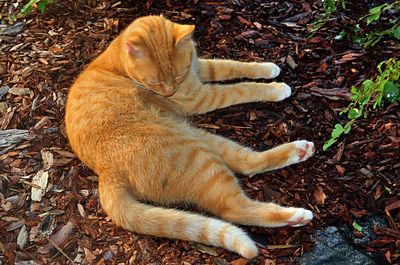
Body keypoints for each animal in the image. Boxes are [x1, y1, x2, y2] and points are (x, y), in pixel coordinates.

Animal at [65, 14, 316, 258]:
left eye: (177, 74)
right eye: (155, 82)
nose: (168, 93)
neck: (118, 64)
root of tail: (105, 172)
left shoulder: (199, 67)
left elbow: (230, 66)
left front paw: (266, 68)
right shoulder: (201, 96)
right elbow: (240, 89)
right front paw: (275, 88)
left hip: (197, 136)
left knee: (247, 164)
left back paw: (299, 151)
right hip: (198, 159)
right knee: (234, 208)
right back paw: (295, 216)